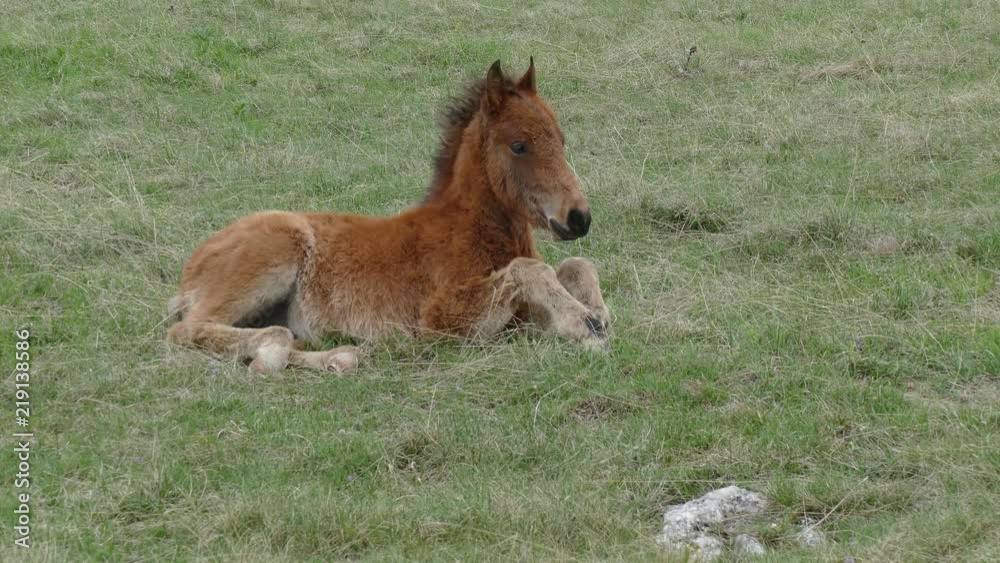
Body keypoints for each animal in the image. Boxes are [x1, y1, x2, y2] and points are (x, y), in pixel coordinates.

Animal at [166, 59, 611, 373]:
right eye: (519, 146)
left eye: (561, 140)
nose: (578, 218)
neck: (471, 228)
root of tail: (192, 269)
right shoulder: (440, 324)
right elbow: (530, 270)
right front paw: (585, 325)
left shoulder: (523, 318)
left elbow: (575, 264)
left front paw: (597, 313)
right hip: (271, 255)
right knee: (188, 330)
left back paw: (336, 357)